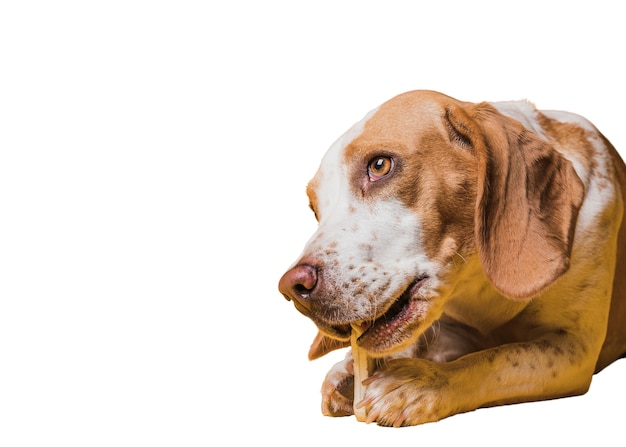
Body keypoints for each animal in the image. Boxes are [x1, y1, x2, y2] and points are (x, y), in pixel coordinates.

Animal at [278, 90, 624, 428]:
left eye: (379, 166)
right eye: (315, 208)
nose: (292, 287)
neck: (479, 284)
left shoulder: (574, 347)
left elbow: (495, 359)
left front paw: (420, 384)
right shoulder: (450, 328)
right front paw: (354, 371)